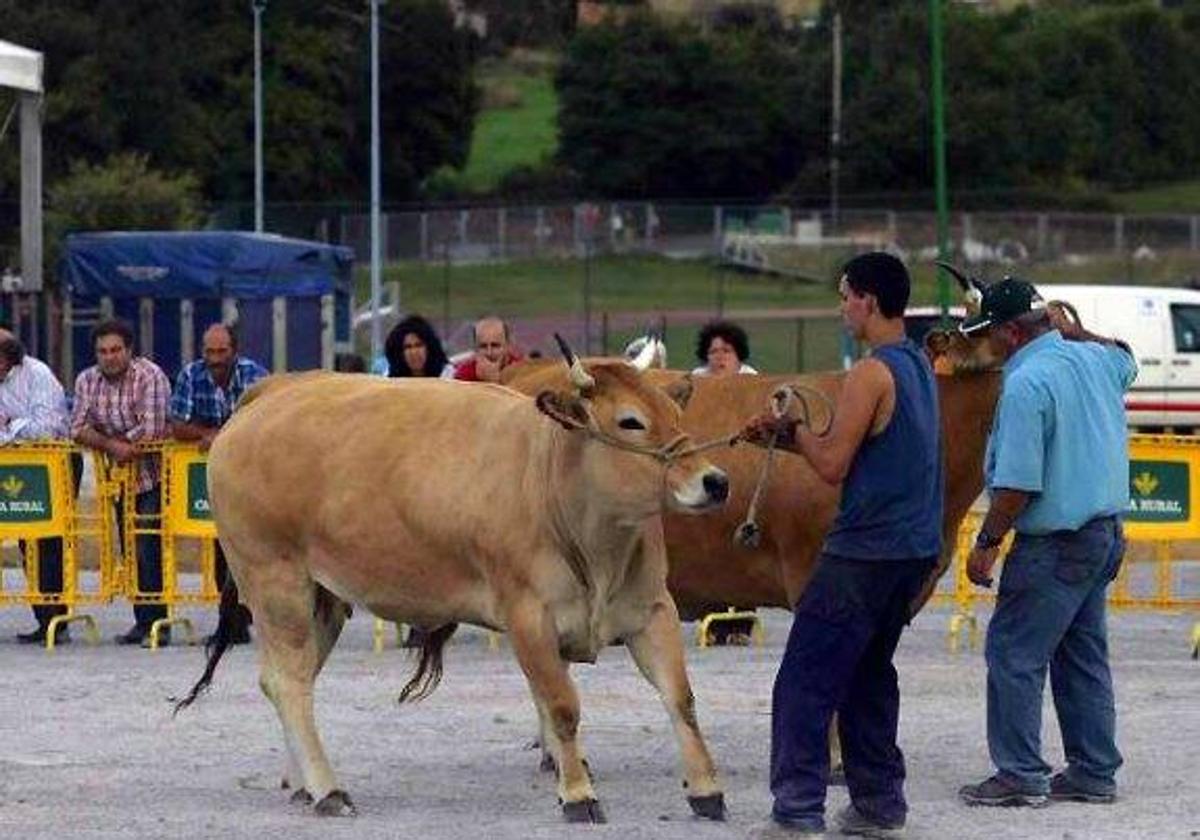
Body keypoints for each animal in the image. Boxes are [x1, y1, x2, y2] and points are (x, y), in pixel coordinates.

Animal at [172, 345, 724, 825]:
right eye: (630, 421)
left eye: (676, 415)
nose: (716, 481)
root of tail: (273, 392)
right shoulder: (529, 617)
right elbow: (563, 706)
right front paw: (578, 795)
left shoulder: (651, 612)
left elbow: (681, 699)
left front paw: (706, 790)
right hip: (276, 583)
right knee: (288, 683)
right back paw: (328, 789)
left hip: (321, 599)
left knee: (291, 679)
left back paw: (305, 781)